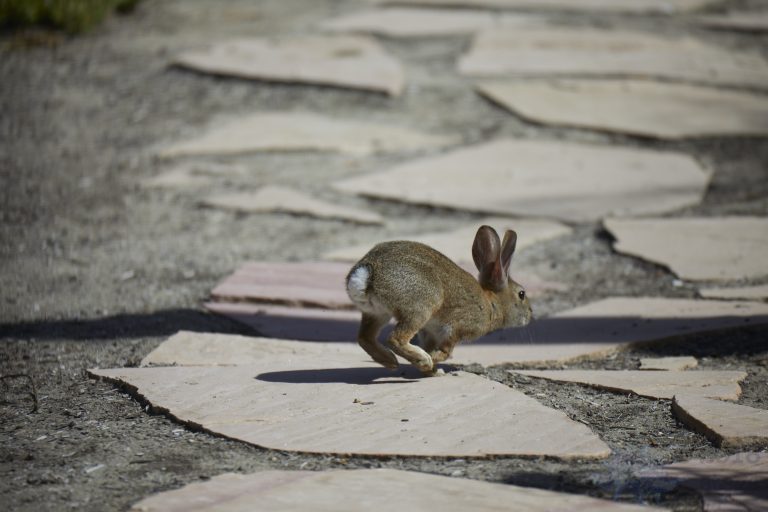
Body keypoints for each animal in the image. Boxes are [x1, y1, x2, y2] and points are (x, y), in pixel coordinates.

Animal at [345, 225, 532, 376]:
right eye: (521, 294)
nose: (531, 315)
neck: (491, 303)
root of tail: (367, 272)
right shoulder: (457, 328)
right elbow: (445, 352)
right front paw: (431, 365)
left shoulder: (430, 332)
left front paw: (433, 372)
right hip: (422, 306)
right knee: (395, 338)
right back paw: (421, 360)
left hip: (376, 313)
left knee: (365, 338)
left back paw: (391, 361)